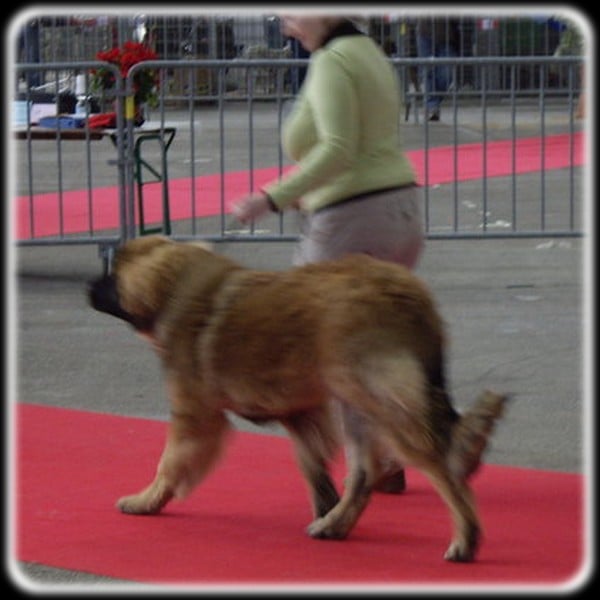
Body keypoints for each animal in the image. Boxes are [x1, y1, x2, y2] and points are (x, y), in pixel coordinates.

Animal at [86, 236, 506, 564]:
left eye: (111, 274)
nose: (89, 286)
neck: (177, 289)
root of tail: (407, 293)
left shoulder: (194, 413)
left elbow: (170, 463)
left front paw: (146, 501)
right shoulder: (301, 412)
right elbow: (312, 467)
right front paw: (325, 506)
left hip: (379, 401)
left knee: (441, 466)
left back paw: (465, 540)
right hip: (357, 406)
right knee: (365, 471)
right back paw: (335, 524)